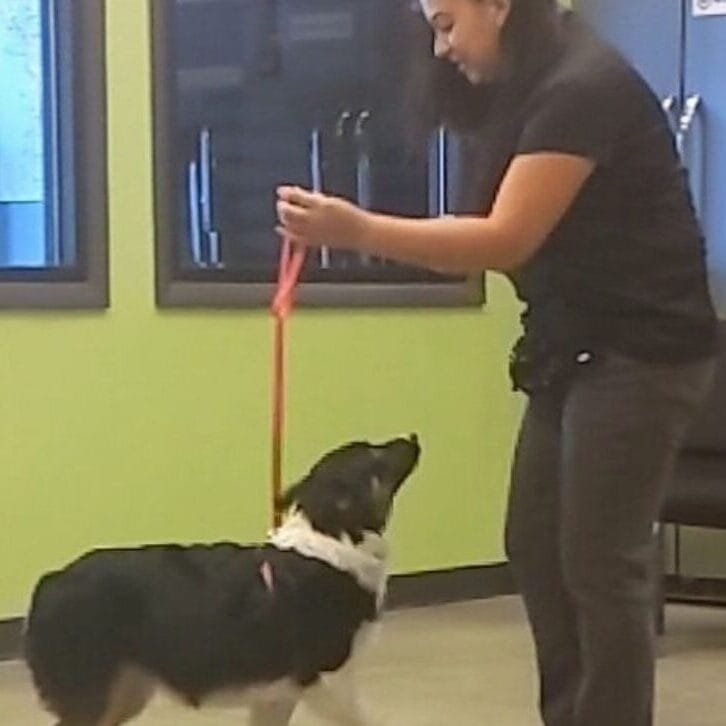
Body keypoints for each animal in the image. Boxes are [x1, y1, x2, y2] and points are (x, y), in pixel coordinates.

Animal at [24, 436, 420, 724]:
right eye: (374, 454)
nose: (413, 437)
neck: (334, 537)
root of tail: (49, 581)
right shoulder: (327, 680)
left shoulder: (277, 693)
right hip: (92, 692)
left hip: (125, 691)